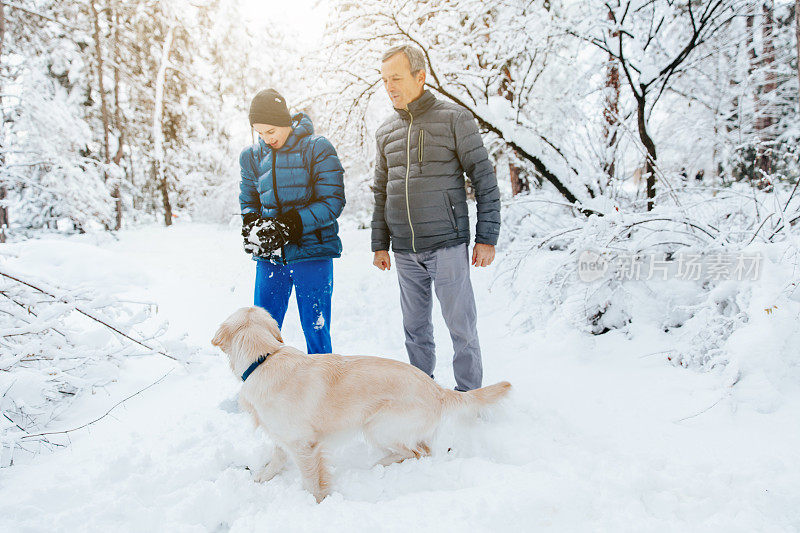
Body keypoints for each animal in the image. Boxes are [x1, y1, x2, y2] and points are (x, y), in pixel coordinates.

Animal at [211, 306, 512, 500]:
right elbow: (277, 455)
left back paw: (381, 462)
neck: (264, 359)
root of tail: (436, 388)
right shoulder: (284, 434)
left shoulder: (304, 444)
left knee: (418, 451)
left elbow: (311, 479)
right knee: (422, 448)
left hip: (377, 426)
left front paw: (316, 502)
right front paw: (263, 476)